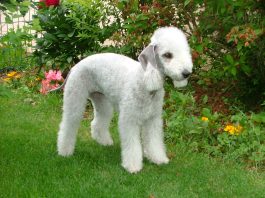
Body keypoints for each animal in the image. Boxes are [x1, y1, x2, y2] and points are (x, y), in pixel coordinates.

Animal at [57, 26, 192, 173]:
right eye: (167, 55)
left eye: (185, 51)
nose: (187, 73)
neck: (144, 82)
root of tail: (76, 66)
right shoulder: (129, 119)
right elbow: (132, 145)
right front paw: (133, 166)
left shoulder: (153, 119)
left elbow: (154, 141)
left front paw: (158, 159)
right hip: (75, 98)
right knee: (68, 125)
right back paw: (64, 151)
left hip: (102, 101)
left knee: (97, 122)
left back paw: (104, 142)